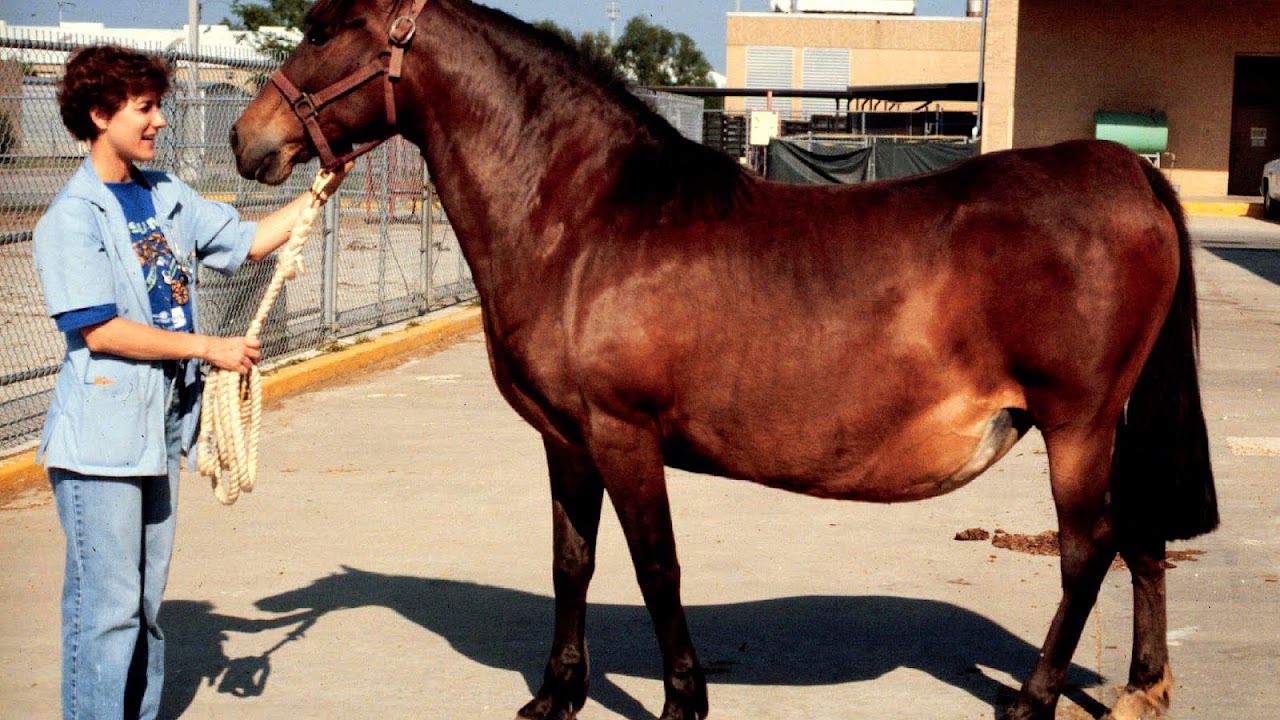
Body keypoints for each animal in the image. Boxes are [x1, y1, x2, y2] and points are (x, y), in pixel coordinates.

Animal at [229, 1, 1219, 718]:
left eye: (322, 30)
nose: (247, 141)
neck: (585, 218)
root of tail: (1131, 172)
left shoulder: (623, 436)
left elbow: (656, 567)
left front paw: (681, 702)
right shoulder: (566, 441)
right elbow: (571, 561)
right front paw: (556, 696)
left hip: (1077, 423)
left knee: (1088, 549)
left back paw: (1033, 700)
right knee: (1140, 536)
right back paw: (1142, 686)